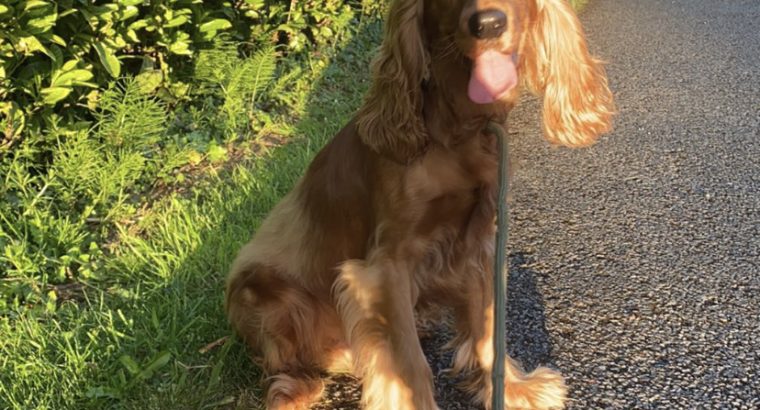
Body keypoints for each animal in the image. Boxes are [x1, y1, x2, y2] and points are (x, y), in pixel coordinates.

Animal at [224, 0, 612, 408]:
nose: (488, 25)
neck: (459, 130)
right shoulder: (386, 265)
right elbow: (408, 365)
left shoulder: (479, 244)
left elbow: (489, 332)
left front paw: (514, 391)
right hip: (261, 292)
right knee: (286, 365)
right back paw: (301, 385)